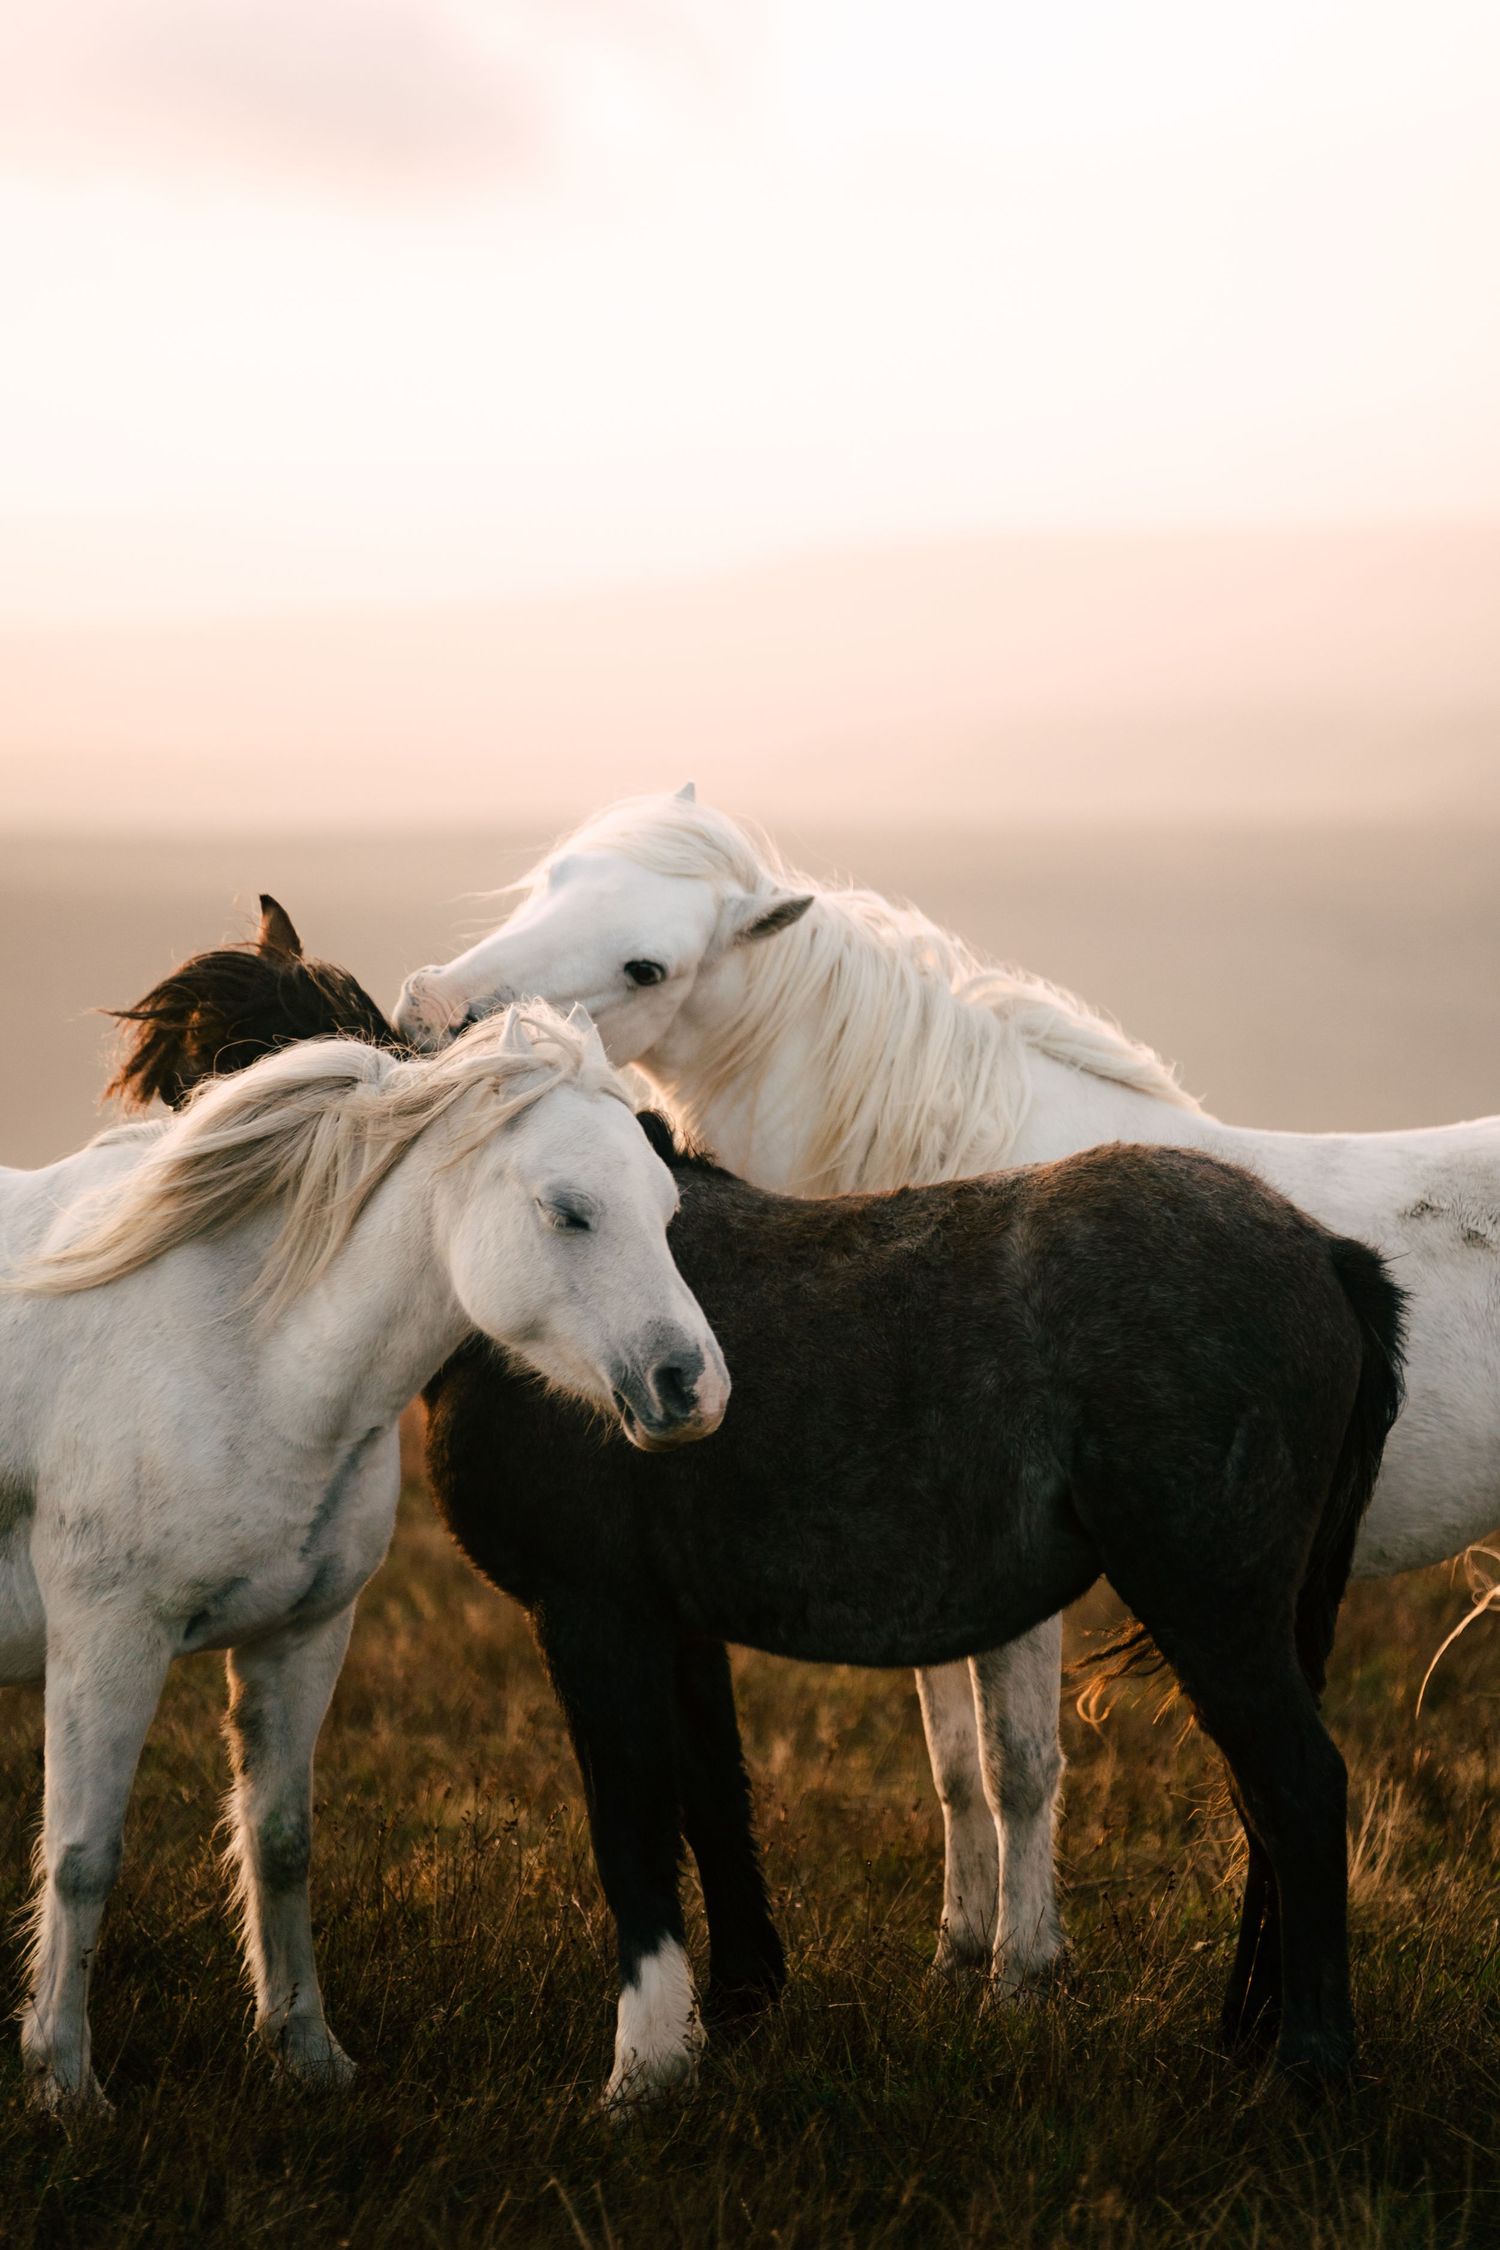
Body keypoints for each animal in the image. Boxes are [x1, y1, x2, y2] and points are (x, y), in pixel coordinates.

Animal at [0, 1001, 727, 2112]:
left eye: (665, 1210)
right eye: (567, 1211)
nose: (694, 1388)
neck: (246, 1358)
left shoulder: (302, 1638)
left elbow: (281, 1843)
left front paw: (306, 2053)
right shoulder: (105, 1639)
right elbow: (82, 1858)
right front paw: (67, 2086)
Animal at [109, 915, 1404, 2101]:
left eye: (211, 1096)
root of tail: (1322, 1249)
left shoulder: (591, 1616)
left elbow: (634, 1825)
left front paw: (643, 2071)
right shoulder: (671, 1620)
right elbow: (711, 1800)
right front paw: (734, 2003)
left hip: (1211, 1607)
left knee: (1298, 1789)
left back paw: (1308, 2064)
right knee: (1266, 1803)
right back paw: (1254, 2031)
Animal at [394, 785, 1500, 1996]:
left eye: (649, 966)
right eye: (552, 880)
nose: (433, 1010)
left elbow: (1021, 1765)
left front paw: (1022, 1975)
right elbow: (956, 1768)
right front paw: (958, 1951)